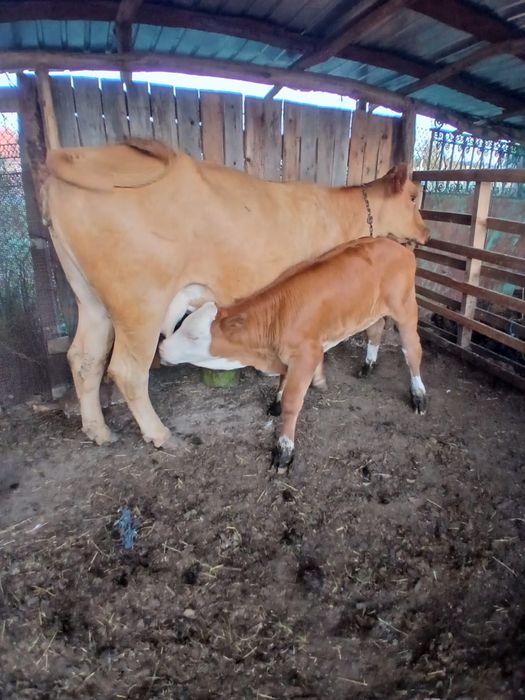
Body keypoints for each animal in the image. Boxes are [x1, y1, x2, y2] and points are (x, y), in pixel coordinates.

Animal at [159, 237, 426, 470]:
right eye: (182, 324)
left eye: (194, 336)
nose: (160, 348)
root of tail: (395, 243)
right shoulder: (286, 357)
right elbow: (282, 381)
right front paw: (275, 403)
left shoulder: (307, 355)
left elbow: (292, 402)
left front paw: (284, 451)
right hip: (369, 311)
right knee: (376, 329)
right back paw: (368, 365)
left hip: (405, 309)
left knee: (412, 349)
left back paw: (418, 395)